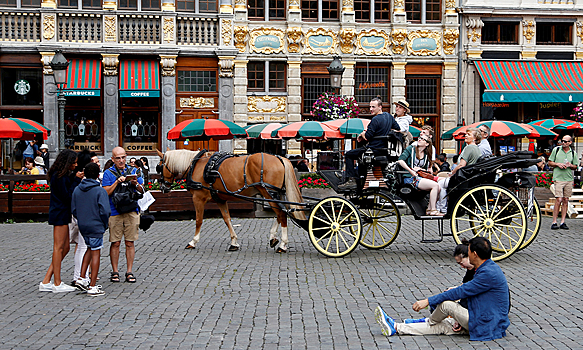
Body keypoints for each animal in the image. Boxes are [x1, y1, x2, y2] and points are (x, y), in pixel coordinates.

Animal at [157, 149, 308, 253]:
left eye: (159, 167)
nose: (163, 187)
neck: (196, 165)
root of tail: (279, 158)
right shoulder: (220, 200)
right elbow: (227, 219)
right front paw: (234, 243)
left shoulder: (198, 198)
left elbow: (199, 220)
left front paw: (193, 242)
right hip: (275, 193)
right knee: (283, 212)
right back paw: (273, 238)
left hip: (268, 193)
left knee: (281, 214)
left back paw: (282, 245)